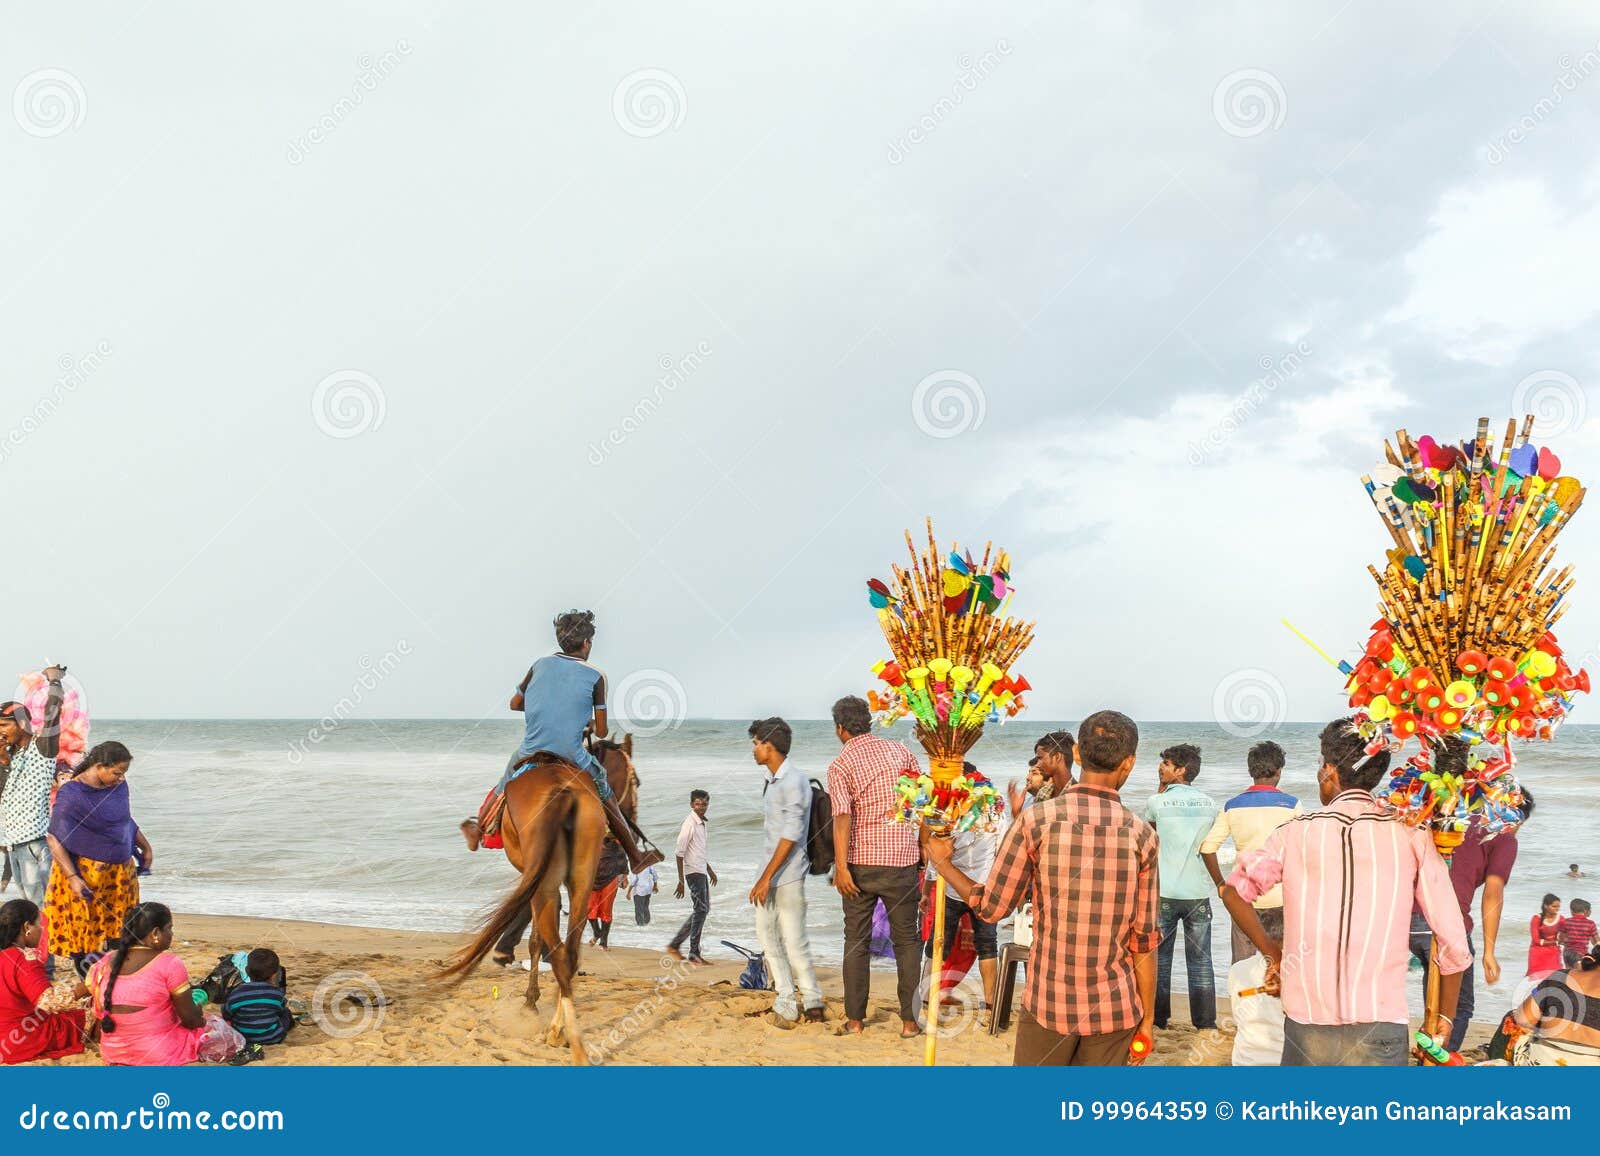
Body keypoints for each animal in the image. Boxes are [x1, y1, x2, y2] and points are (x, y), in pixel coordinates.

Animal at [441, 733, 640, 1056]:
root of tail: (563, 789)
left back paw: (564, 1036)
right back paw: (562, 1030)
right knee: (569, 952)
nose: (631, 824)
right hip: (581, 878)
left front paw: (530, 999)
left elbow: (535, 939)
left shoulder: (533, 873)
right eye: (636, 782)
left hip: (545, 880)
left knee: (558, 949)